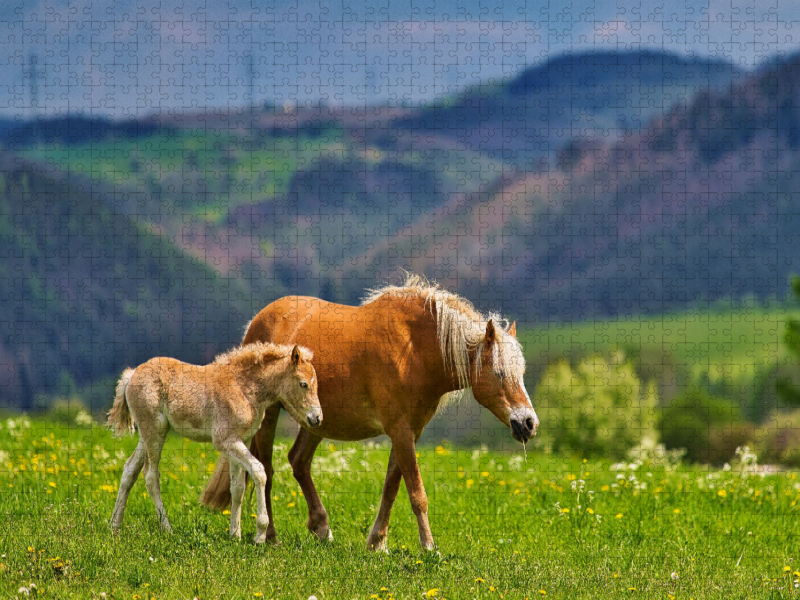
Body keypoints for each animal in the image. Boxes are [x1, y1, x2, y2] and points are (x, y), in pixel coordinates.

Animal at [108, 342, 320, 544]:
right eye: (303, 384)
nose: (317, 418)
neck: (244, 388)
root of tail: (132, 375)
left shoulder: (241, 439)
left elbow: (237, 488)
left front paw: (235, 535)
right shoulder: (224, 440)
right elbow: (259, 471)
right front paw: (260, 534)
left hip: (147, 433)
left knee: (130, 469)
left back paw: (114, 527)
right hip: (155, 430)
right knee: (151, 476)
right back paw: (167, 529)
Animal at [200, 274, 540, 552]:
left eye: (522, 372)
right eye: (499, 373)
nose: (528, 422)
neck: (415, 347)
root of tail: (258, 321)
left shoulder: (408, 432)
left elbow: (392, 487)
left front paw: (377, 542)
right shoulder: (400, 431)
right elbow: (416, 493)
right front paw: (429, 548)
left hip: (316, 422)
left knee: (298, 462)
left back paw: (322, 528)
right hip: (270, 415)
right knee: (267, 469)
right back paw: (270, 535)